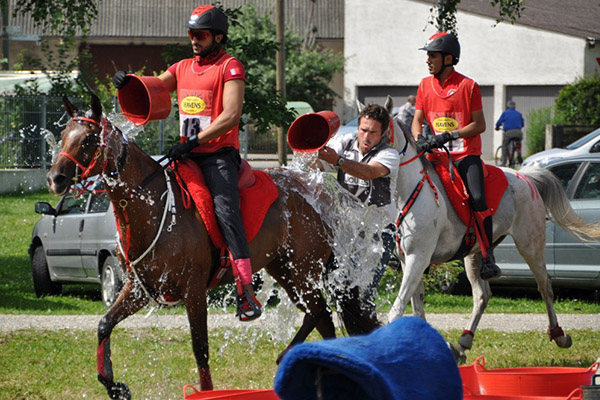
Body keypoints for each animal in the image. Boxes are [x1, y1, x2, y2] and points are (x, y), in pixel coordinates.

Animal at [45, 95, 380, 398]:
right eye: (63, 136)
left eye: (88, 139)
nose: (55, 179)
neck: (154, 207)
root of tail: (317, 197)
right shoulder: (139, 288)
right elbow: (104, 324)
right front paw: (114, 385)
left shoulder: (193, 291)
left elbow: (200, 348)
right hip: (285, 271)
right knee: (321, 317)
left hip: (302, 272)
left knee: (320, 313)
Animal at [384, 119, 600, 362]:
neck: (410, 189)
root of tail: (525, 176)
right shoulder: (409, 260)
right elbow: (417, 307)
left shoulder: (418, 258)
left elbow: (399, 308)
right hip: (475, 254)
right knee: (482, 296)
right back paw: (462, 344)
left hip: (530, 245)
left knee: (545, 286)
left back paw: (559, 334)